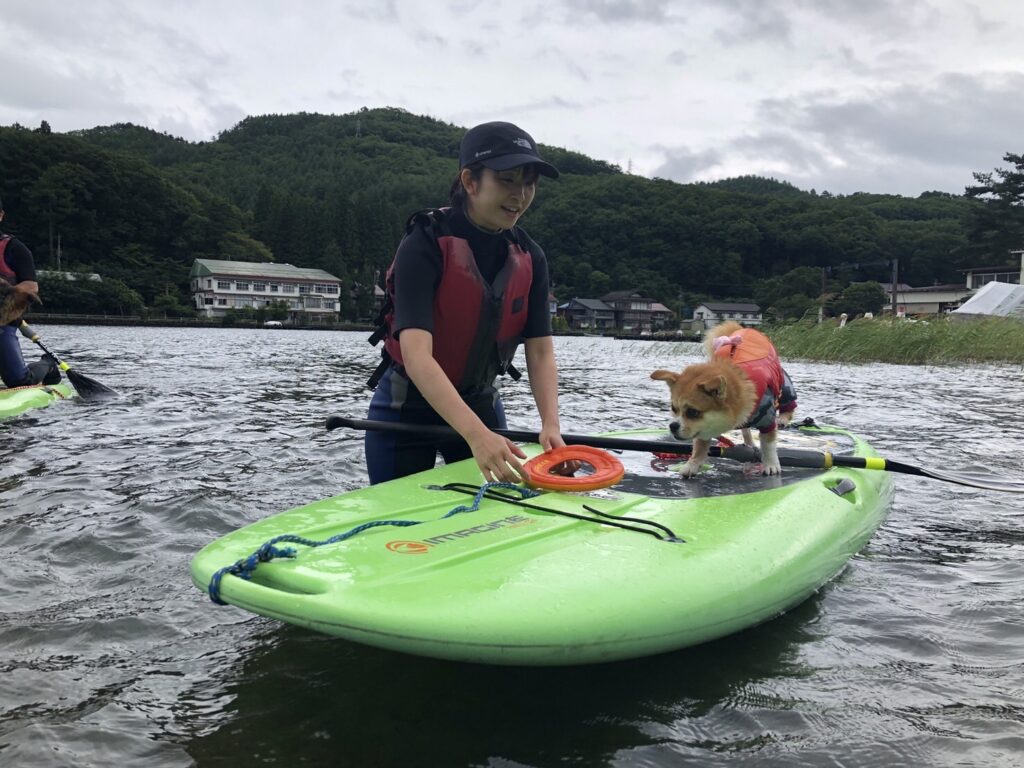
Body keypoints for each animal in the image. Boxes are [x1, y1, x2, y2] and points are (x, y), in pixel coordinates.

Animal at [647, 321, 798, 479]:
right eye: (673, 409)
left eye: (693, 412)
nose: (673, 426)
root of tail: (744, 329)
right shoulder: (703, 427)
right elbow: (699, 447)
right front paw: (692, 464)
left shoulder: (767, 419)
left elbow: (768, 445)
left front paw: (771, 464)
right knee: (746, 430)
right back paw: (749, 442)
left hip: (782, 381)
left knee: (788, 401)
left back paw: (783, 418)